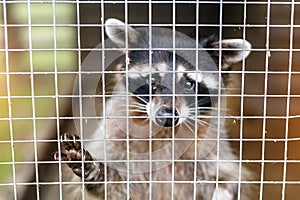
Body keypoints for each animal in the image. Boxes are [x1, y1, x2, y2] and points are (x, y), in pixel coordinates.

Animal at [54, 18, 255, 199]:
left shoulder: (211, 146)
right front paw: (94, 169)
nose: (167, 115)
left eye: (189, 84)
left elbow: (226, 177)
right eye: (152, 80)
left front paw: (224, 190)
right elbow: (117, 184)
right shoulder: (117, 135)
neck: (164, 132)